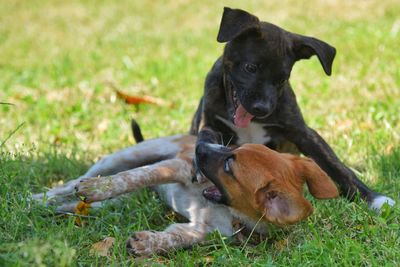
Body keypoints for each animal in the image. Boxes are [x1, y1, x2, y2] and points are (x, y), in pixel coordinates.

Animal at [32, 135, 338, 256]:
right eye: (233, 148)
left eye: (229, 166)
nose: (201, 143)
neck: (224, 207)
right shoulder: (176, 167)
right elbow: (131, 178)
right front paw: (98, 188)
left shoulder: (202, 230)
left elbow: (176, 238)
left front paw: (147, 244)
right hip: (122, 157)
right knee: (72, 183)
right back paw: (39, 198)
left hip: (112, 205)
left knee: (79, 205)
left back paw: (54, 208)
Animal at [191, 6, 394, 211]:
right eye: (250, 68)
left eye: (282, 79)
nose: (262, 109)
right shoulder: (209, 122)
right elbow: (204, 137)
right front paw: (199, 164)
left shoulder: (302, 132)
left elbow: (336, 166)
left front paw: (372, 198)